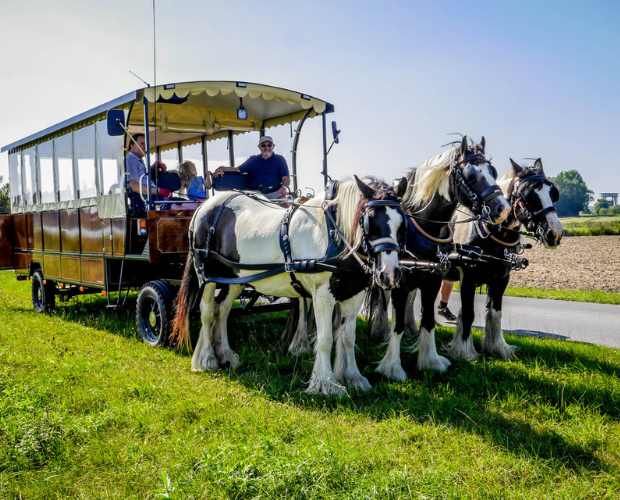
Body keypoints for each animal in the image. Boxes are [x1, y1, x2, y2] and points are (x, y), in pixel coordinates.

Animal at [172, 176, 410, 394]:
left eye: (402, 224)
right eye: (370, 221)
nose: (389, 274)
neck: (333, 236)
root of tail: (205, 206)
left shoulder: (354, 295)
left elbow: (348, 337)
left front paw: (352, 377)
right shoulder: (322, 296)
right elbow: (325, 339)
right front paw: (325, 384)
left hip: (234, 279)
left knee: (222, 310)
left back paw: (226, 356)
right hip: (208, 276)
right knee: (207, 313)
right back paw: (206, 360)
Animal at [370, 137, 512, 378]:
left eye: (493, 171)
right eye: (471, 175)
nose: (503, 209)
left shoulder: (434, 279)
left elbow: (428, 319)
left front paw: (430, 360)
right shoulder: (400, 281)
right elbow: (397, 323)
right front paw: (392, 366)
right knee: (381, 301)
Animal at [446, 158, 568, 358]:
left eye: (553, 193)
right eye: (529, 195)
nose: (555, 232)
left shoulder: (502, 278)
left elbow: (495, 313)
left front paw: (496, 348)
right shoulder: (468, 276)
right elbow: (468, 313)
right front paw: (463, 350)